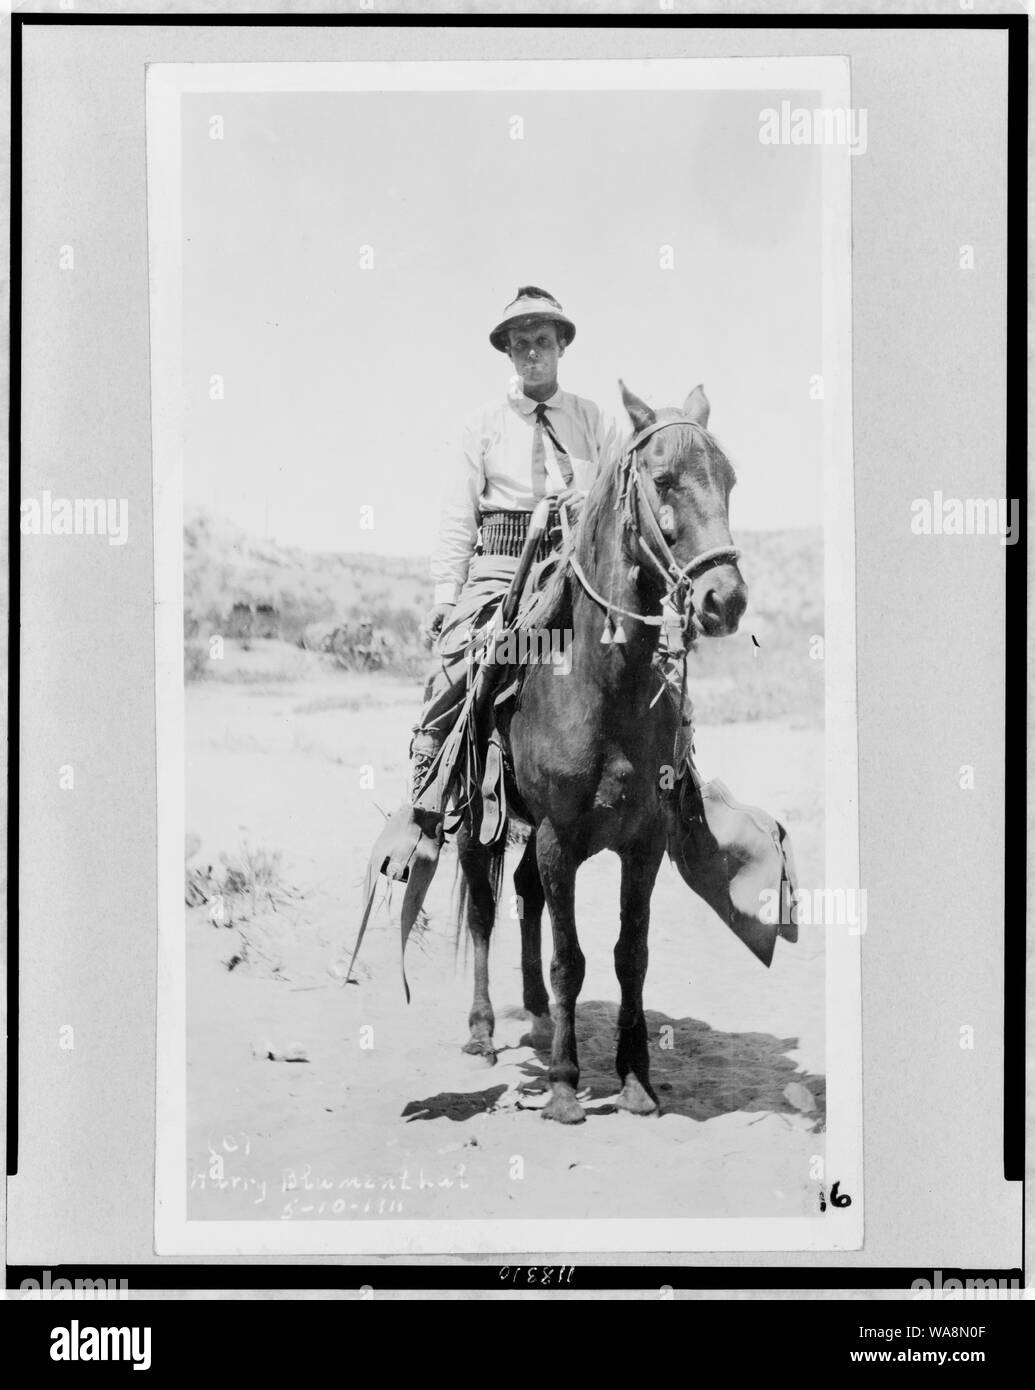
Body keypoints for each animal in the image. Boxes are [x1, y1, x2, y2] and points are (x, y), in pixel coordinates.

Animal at [455, 386, 744, 1123]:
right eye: (663, 481)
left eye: (729, 479)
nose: (726, 600)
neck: (605, 685)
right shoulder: (560, 837)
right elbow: (572, 959)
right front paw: (564, 1085)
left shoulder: (643, 840)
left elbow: (627, 955)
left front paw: (636, 1080)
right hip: (478, 821)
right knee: (484, 908)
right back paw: (482, 1031)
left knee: (523, 894)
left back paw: (534, 1015)